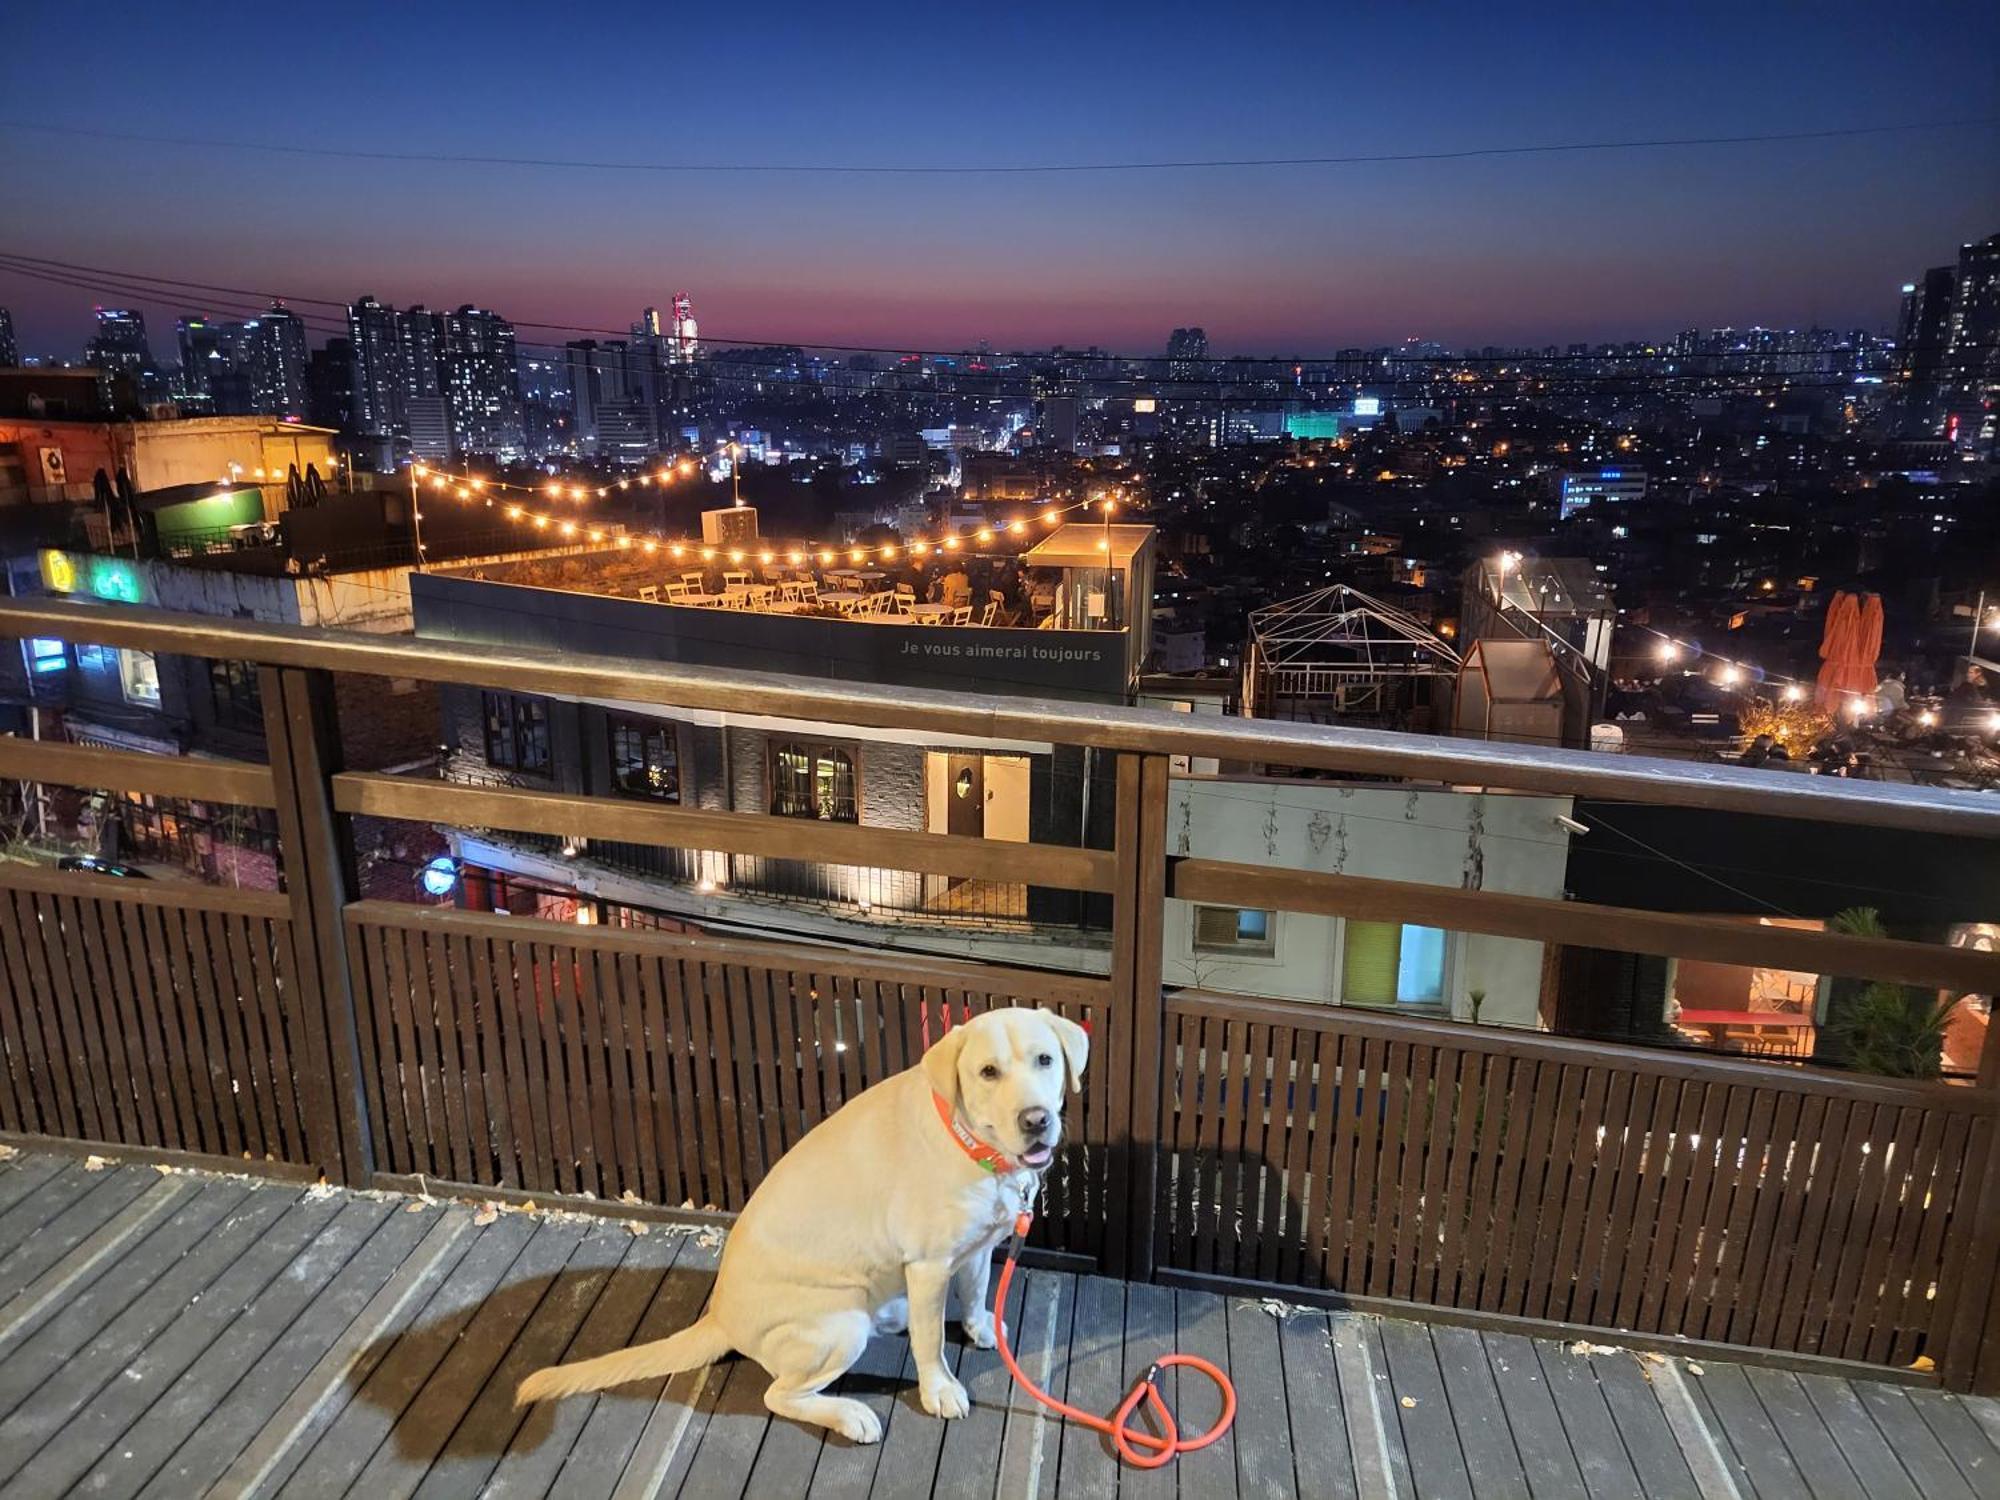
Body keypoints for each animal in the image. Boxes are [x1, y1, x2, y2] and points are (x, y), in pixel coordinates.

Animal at [512, 1012, 1080, 1448]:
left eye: (1045, 1060)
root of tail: (719, 1316)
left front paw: (982, 1326)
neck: (973, 1145)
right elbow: (931, 1341)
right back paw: (851, 1415)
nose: (1036, 1120)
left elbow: (978, 1286)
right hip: (839, 1328)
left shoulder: (976, 1247)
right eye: (988, 1072)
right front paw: (939, 1389)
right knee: (779, 1395)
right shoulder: (928, 1266)